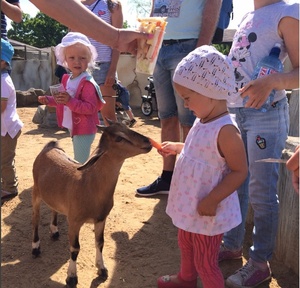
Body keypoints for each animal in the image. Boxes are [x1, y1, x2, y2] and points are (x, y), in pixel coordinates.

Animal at [31, 122, 152, 286]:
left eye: (127, 127)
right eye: (119, 138)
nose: (148, 142)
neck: (89, 185)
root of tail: (50, 146)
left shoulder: (101, 218)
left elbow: (100, 242)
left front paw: (102, 269)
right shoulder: (74, 221)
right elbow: (75, 248)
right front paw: (72, 277)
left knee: (53, 208)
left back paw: (55, 231)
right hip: (36, 191)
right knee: (36, 219)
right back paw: (36, 247)